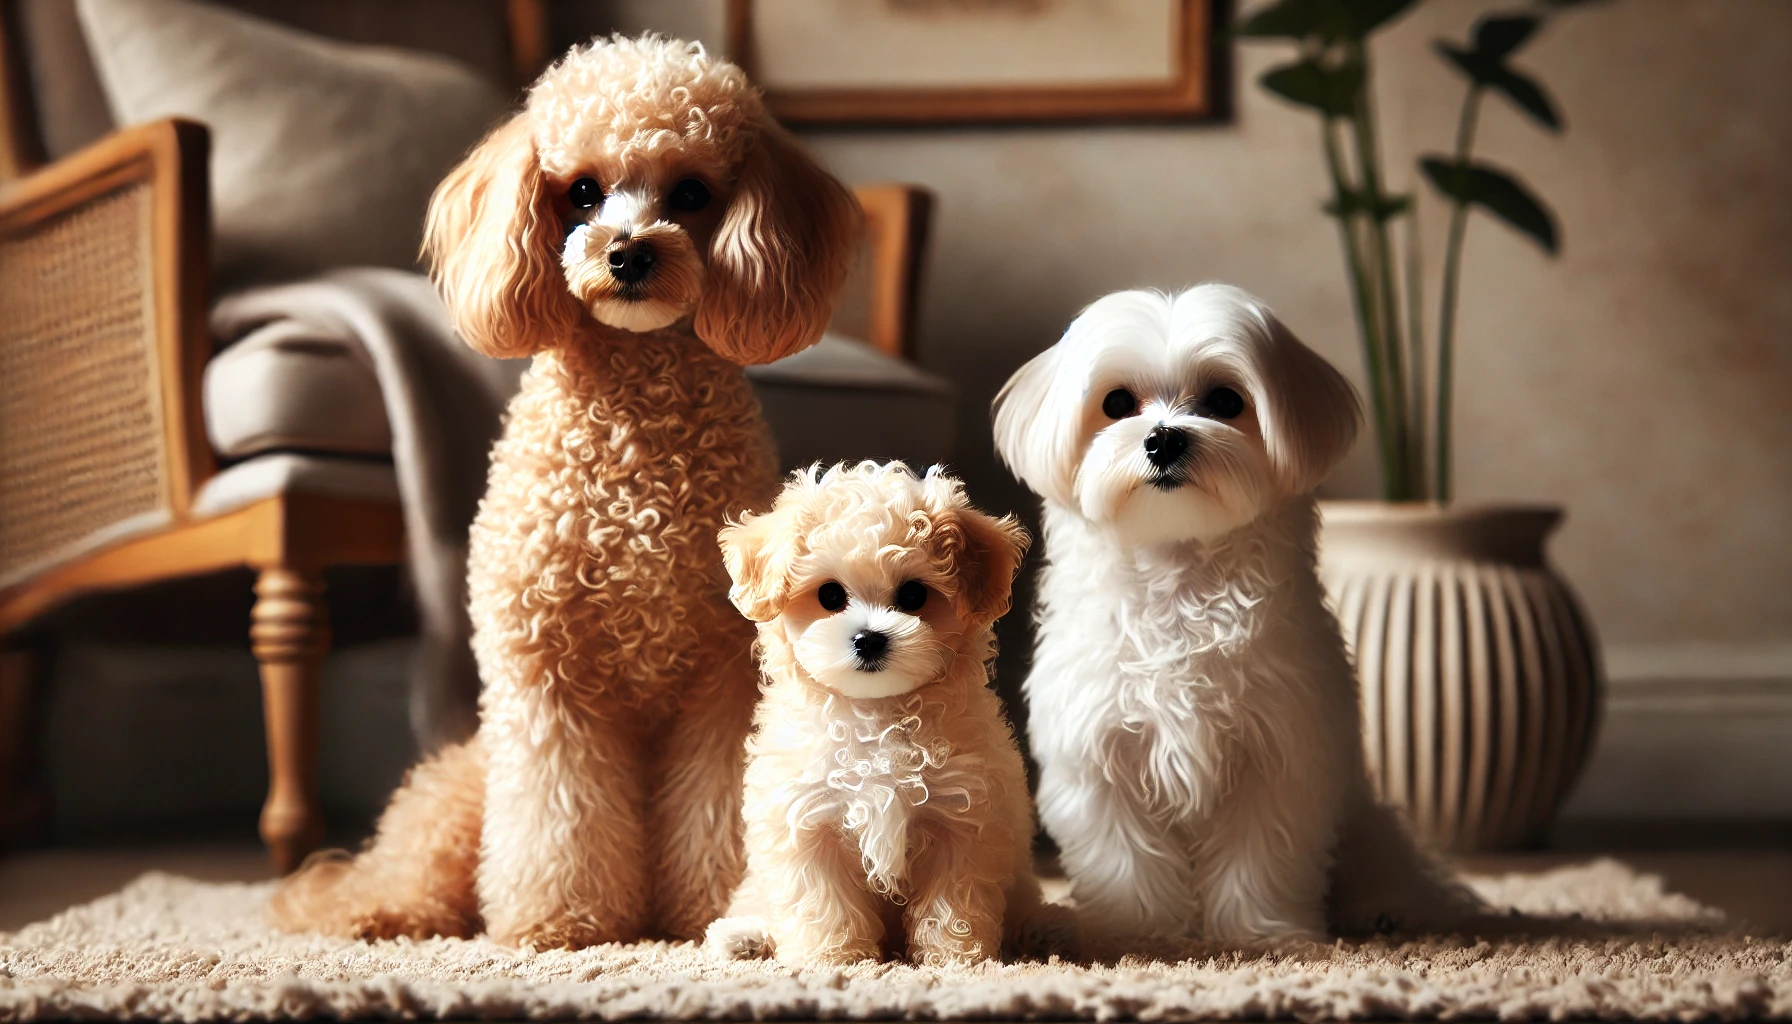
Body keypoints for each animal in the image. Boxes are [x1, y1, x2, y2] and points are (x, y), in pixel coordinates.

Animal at [706, 459, 1053, 968]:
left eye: (913, 596)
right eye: (830, 596)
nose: (868, 638)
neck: (876, 714)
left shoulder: (963, 817)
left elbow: (954, 899)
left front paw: (954, 957)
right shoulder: (805, 819)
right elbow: (821, 899)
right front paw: (834, 956)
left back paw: (1042, 930)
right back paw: (743, 936)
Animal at [996, 285, 1469, 946]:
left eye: (1225, 400)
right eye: (1116, 404)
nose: (1163, 438)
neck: (1179, 579)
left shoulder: (1279, 754)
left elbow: (1260, 855)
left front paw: (1260, 936)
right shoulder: (1100, 758)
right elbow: (1126, 859)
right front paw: (1134, 934)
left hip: (1362, 819)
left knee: (1381, 862)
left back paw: (1387, 908)